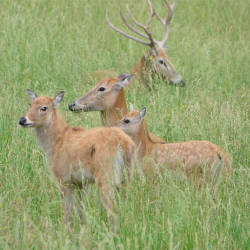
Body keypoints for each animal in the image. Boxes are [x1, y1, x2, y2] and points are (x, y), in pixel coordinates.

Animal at [19, 88, 137, 232]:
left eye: (44, 108)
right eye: (30, 104)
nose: (23, 120)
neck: (56, 143)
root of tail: (125, 143)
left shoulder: (63, 178)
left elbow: (68, 210)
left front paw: (67, 231)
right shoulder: (81, 183)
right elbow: (81, 209)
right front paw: (82, 228)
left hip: (105, 176)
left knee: (113, 210)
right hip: (126, 175)